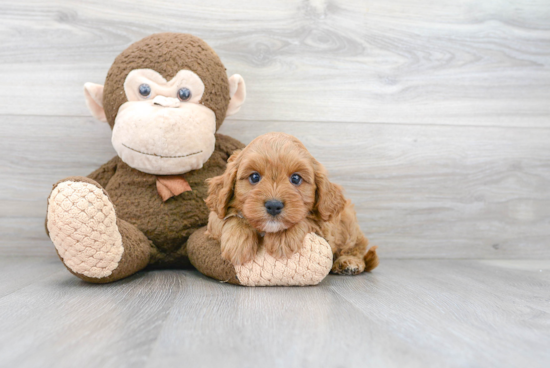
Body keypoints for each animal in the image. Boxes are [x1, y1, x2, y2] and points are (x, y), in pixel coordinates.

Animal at [205, 132, 382, 274]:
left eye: (296, 178)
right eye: (254, 177)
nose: (274, 206)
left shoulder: (325, 227)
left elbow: (306, 219)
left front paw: (282, 237)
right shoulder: (213, 220)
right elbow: (230, 219)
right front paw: (237, 242)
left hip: (349, 223)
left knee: (357, 247)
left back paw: (349, 263)